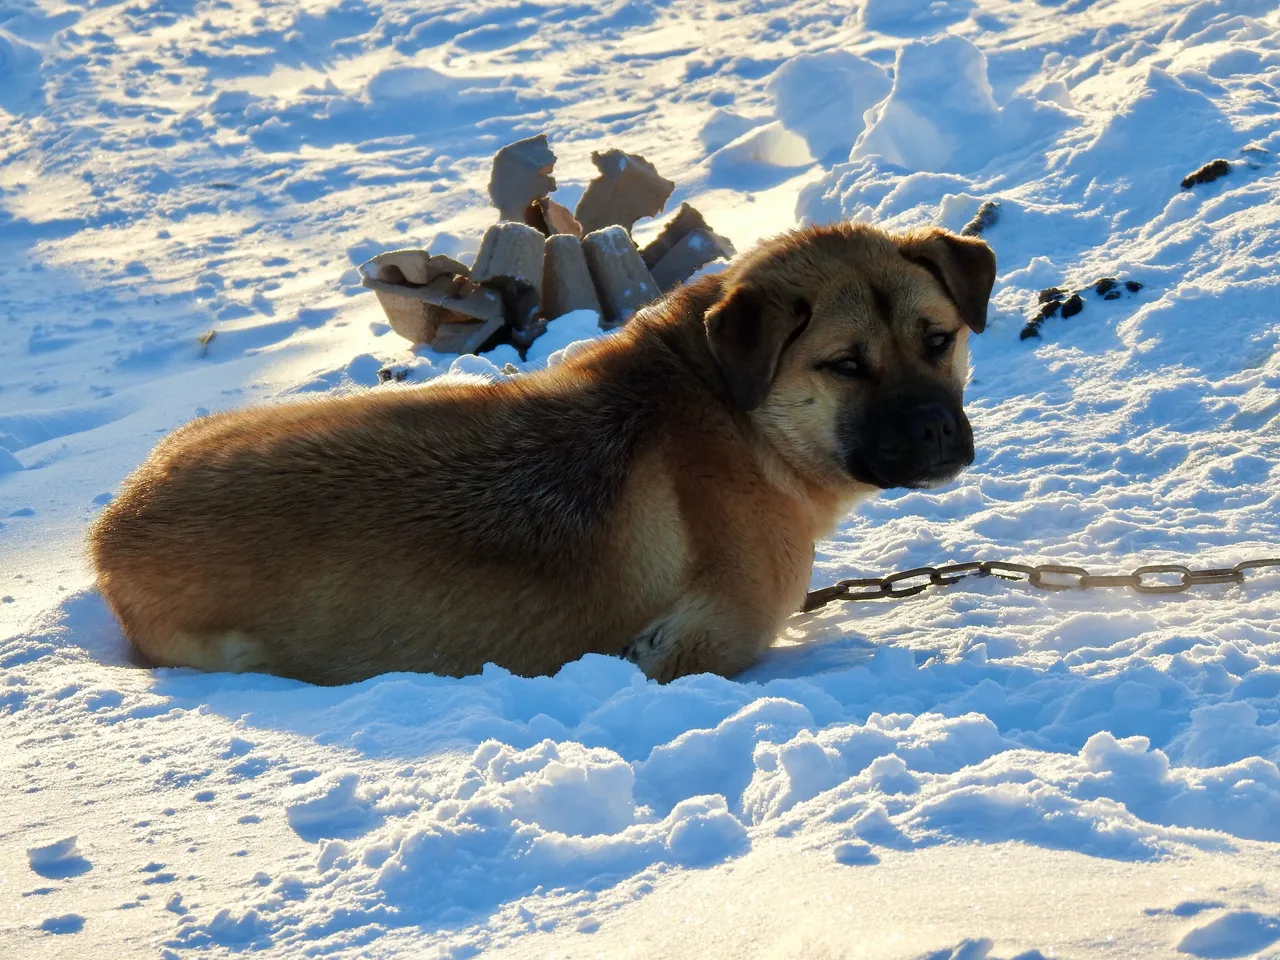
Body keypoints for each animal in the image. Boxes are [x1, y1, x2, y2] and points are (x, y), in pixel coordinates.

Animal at [90, 221, 993, 686]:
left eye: (938, 339)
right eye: (846, 365)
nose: (937, 432)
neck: (736, 416)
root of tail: (110, 527)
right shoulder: (693, 649)